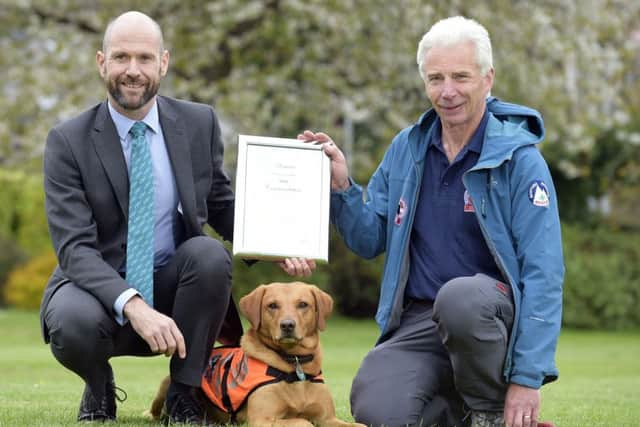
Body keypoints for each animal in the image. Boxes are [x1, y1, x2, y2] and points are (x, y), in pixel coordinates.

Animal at [146, 282, 364, 426]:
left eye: (303, 304)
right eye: (272, 305)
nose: (287, 325)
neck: (294, 364)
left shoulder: (328, 418)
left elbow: (359, 425)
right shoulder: (262, 419)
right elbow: (303, 422)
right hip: (166, 384)